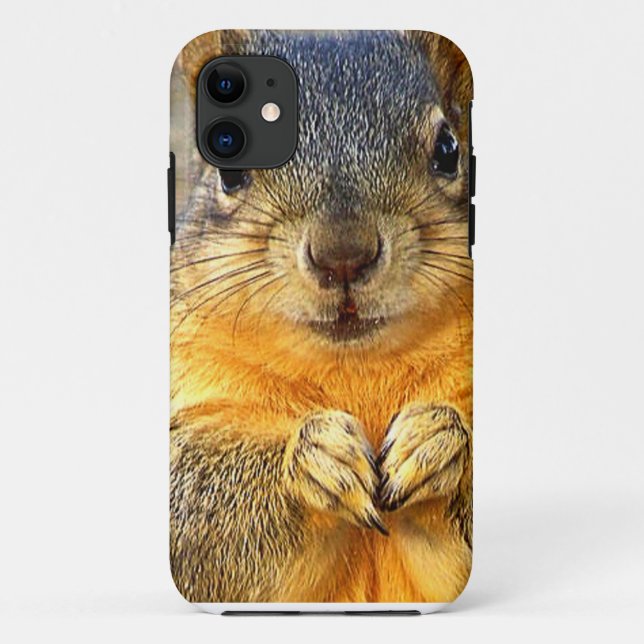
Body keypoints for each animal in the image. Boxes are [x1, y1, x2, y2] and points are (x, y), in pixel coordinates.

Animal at [170, 30, 473, 603]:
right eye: (229, 170)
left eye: (448, 150)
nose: (343, 255)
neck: (355, 368)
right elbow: (191, 509)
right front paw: (313, 457)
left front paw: (439, 443)